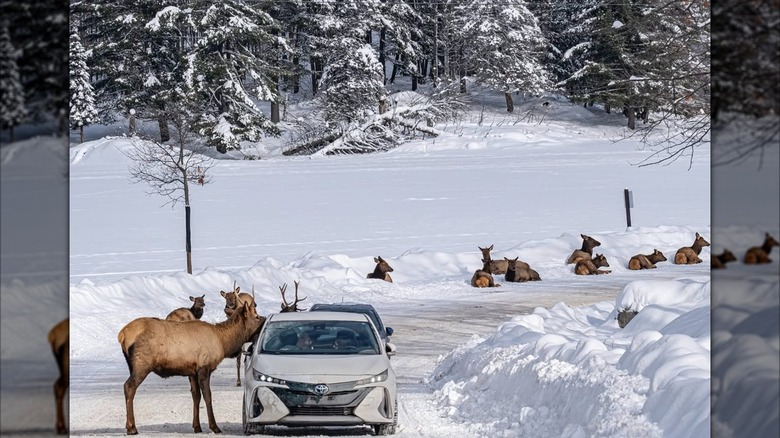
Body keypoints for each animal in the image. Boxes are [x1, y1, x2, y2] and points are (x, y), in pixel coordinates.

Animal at [116, 302, 262, 434]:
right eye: (256, 316)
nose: (265, 319)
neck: (224, 343)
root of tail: (122, 335)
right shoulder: (204, 367)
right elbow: (208, 396)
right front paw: (214, 427)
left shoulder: (192, 371)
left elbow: (196, 396)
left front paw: (197, 427)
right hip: (142, 364)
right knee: (129, 386)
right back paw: (132, 427)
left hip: (133, 366)